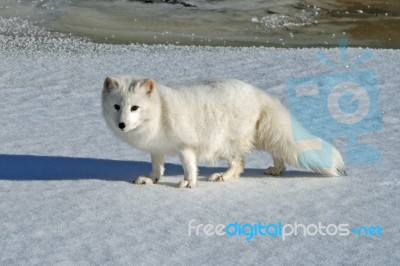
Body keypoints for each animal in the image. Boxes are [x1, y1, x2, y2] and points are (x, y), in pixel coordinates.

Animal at [101, 76, 346, 188]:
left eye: (135, 108)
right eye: (117, 106)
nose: (122, 125)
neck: (159, 112)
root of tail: (256, 91)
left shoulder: (185, 146)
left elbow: (189, 167)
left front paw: (188, 183)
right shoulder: (157, 147)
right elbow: (156, 167)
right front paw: (151, 179)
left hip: (227, 144)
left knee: (240, 164)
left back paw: (223, 176)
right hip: (261, 136)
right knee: (278, 152)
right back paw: (276, 170)